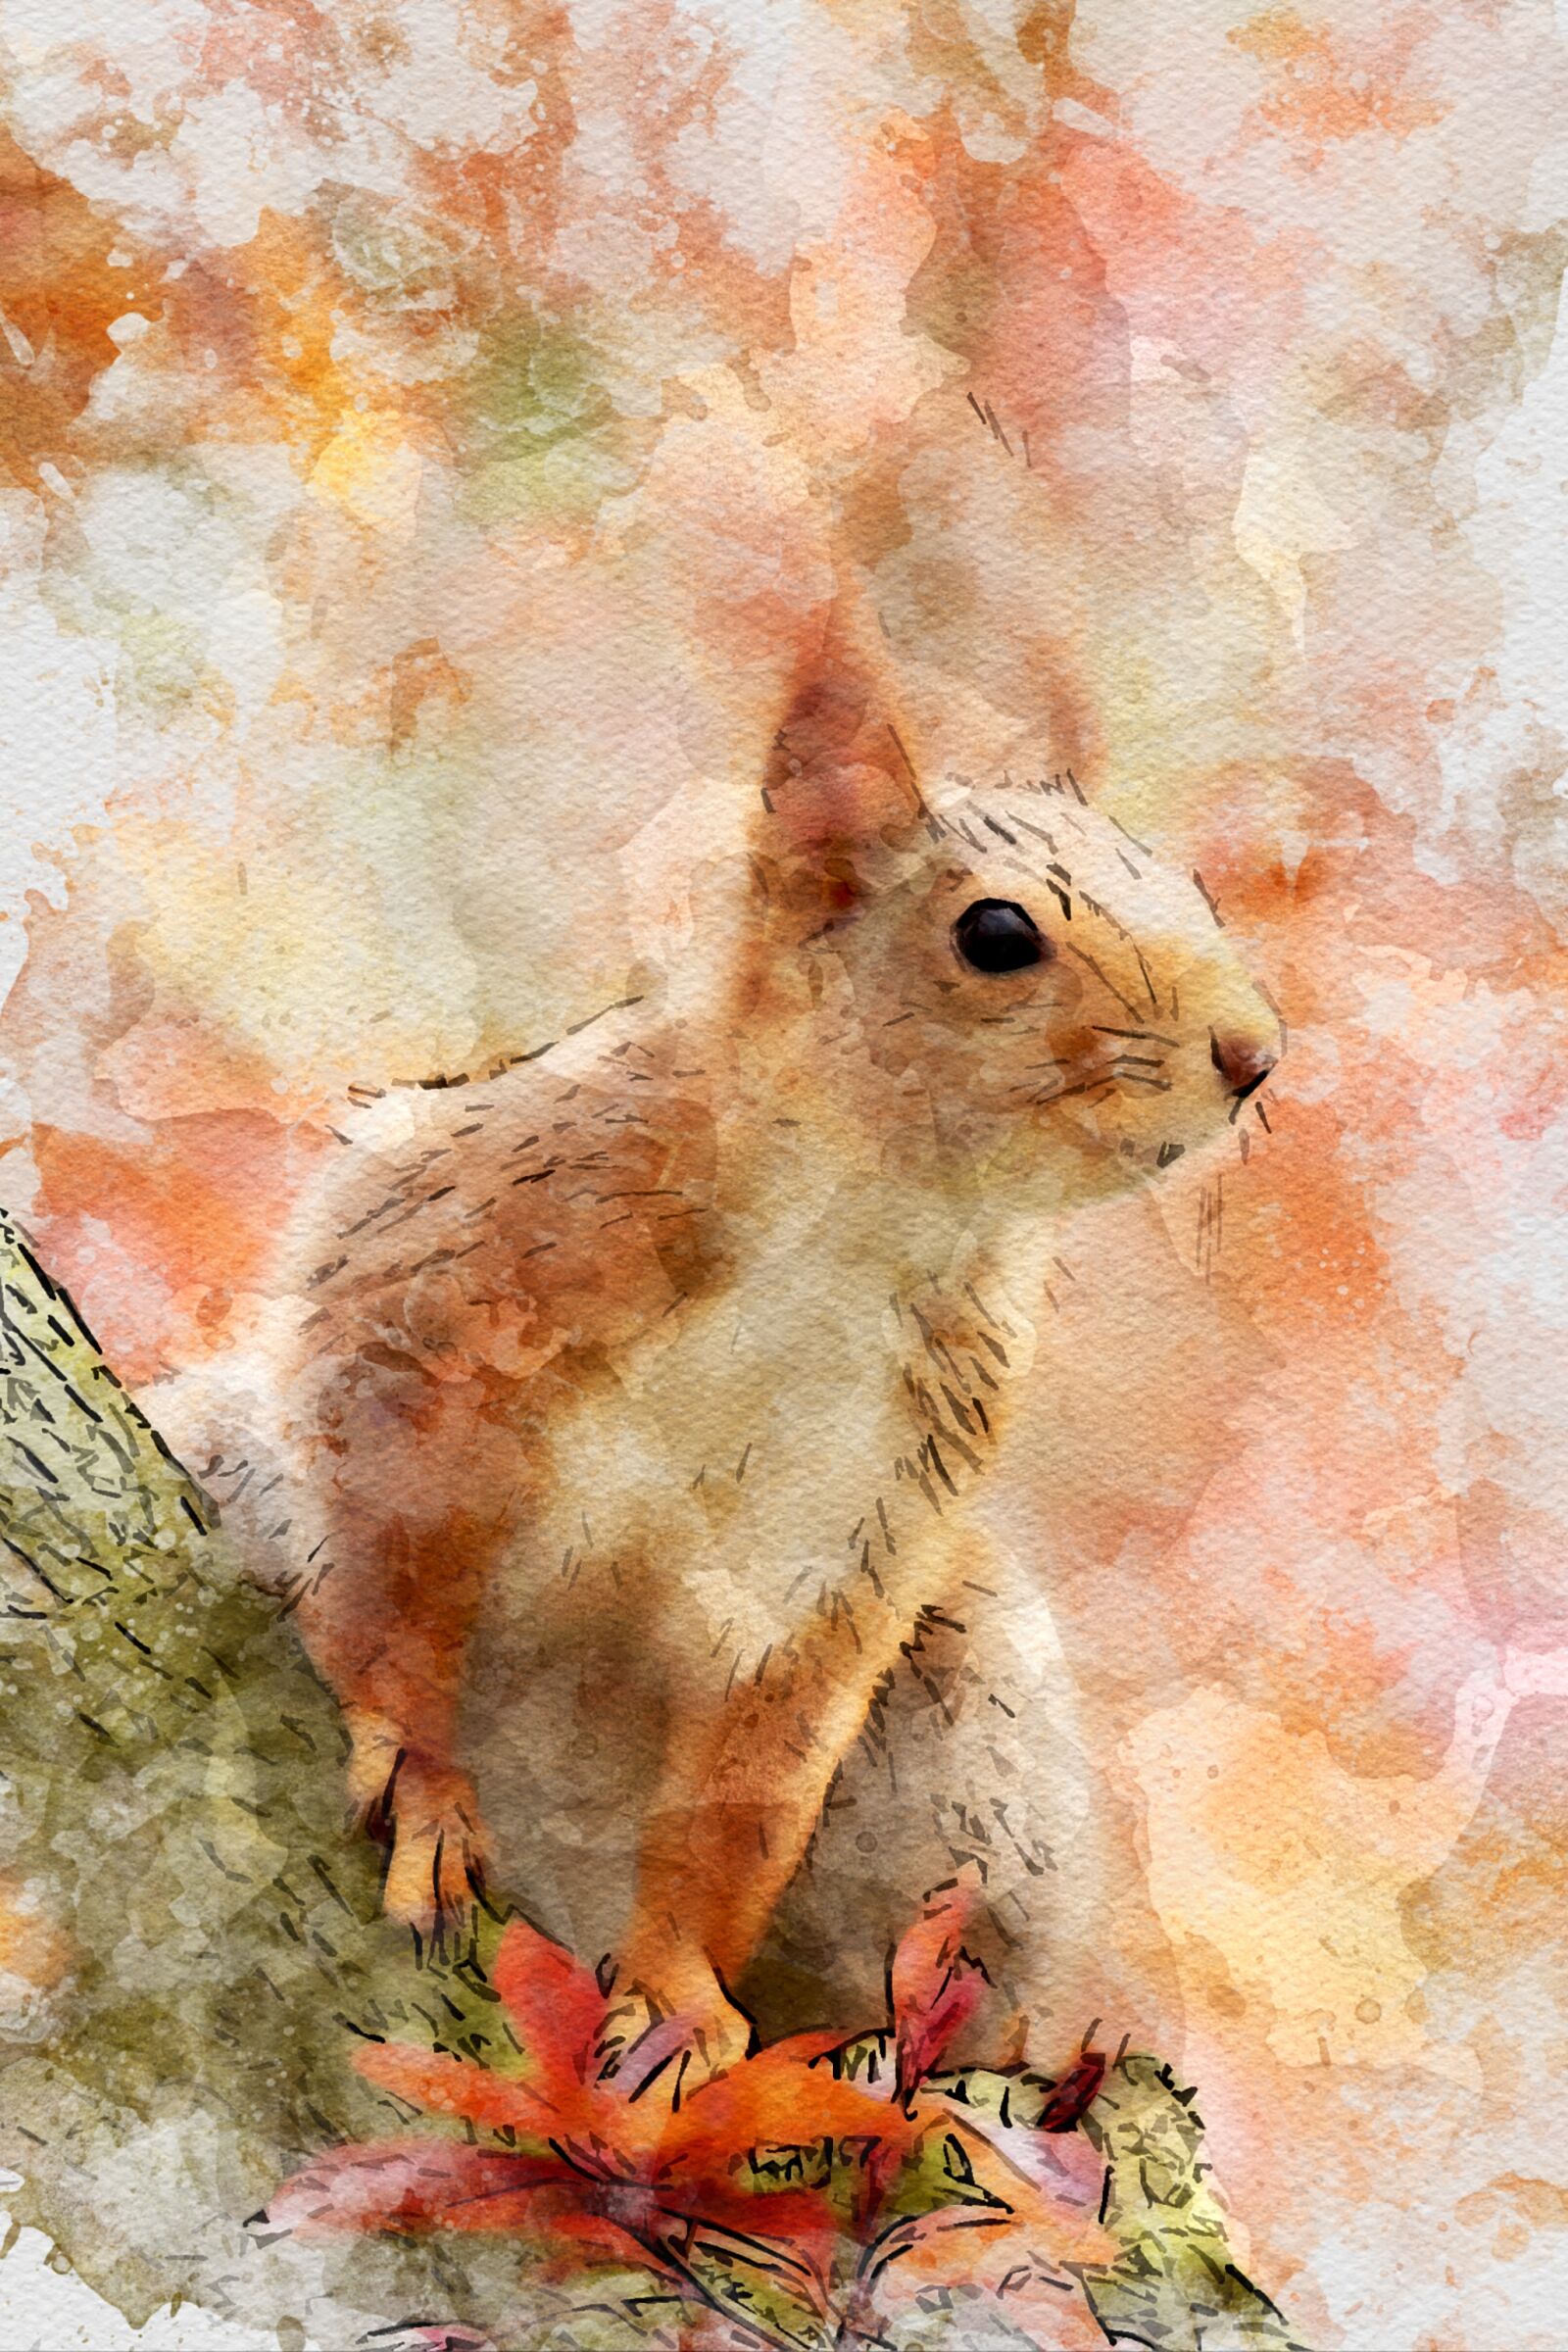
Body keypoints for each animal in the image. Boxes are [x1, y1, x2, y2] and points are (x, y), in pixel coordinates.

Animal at [157, 591, 1282, 2085]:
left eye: (1189, 890)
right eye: (996, 935)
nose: (1255, 1055)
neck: (858, 1215)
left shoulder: (864, 1516)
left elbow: (745, 1789)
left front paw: (681, 1998)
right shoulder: (442, 1296)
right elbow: (392, 1569)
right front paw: (421, 1780)